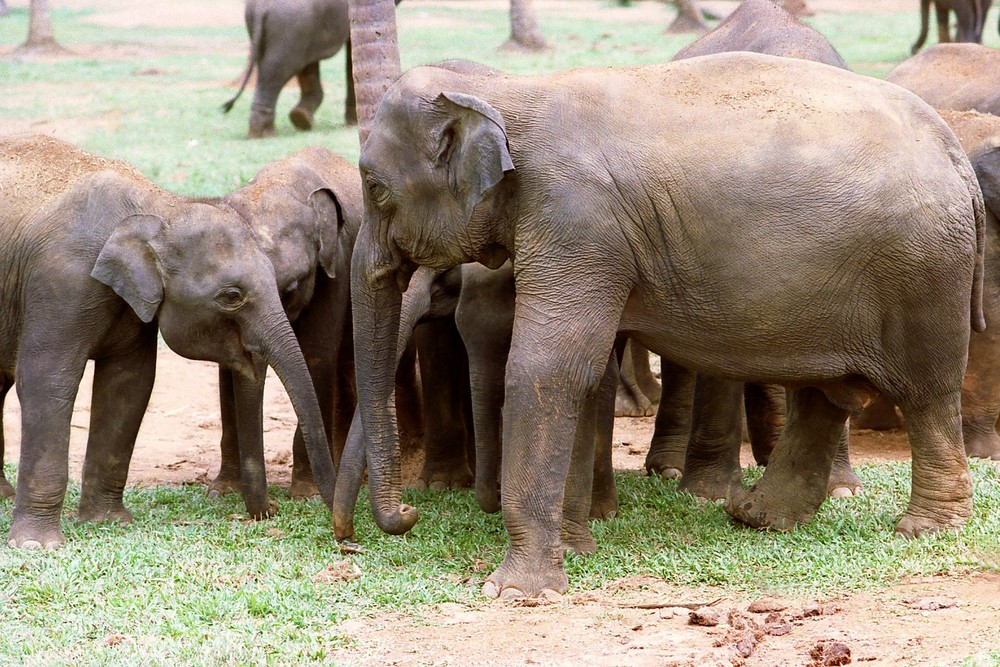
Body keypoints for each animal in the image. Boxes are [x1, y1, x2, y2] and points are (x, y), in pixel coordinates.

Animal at [0, 136, 340, 548]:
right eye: (232, 296)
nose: (273, 510)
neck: (159, 207)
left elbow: (130, 383)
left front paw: (109, 522)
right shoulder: (61, 282)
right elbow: (47, 381)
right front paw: (36, 545)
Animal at [199, 147, 360, 516]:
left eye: (292, 288)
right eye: (230, 296)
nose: (269, 509)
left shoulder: (337, 266)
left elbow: (316, 357)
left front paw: (307, 494)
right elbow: (228, 371)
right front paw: (221, 491)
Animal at [225, 0, 400, 138]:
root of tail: (261, 8)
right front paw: (352, 123)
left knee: (278, 67)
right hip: (293, 27)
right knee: (279, 69)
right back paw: (268, 133)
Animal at [350, 54, 984, 600]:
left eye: (375, 189)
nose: (406, 515)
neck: (506, 91)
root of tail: (958, 154)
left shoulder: (576, 222)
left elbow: (547, 370)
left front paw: (517, 591)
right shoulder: (590, 243)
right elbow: (588, 377)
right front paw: (575, 553)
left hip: (922, 275)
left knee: (925, 394)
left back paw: (926, 529)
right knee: (826, 395)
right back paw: (757, 517)